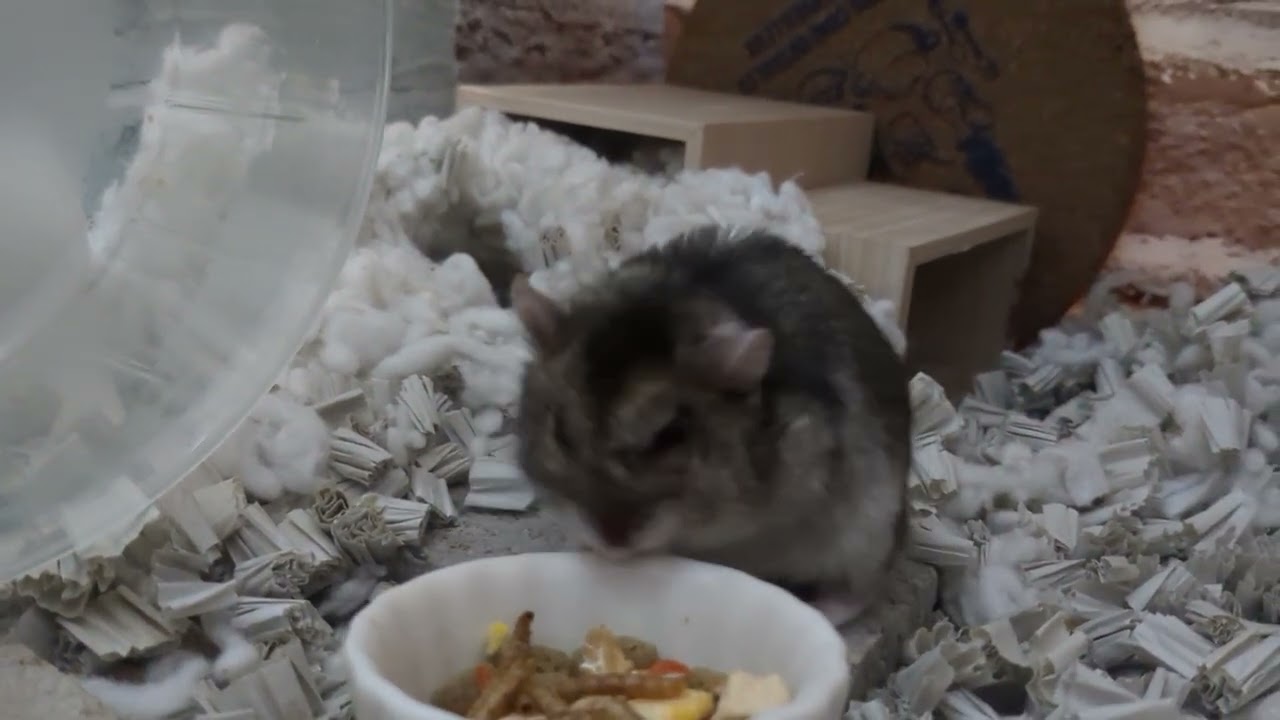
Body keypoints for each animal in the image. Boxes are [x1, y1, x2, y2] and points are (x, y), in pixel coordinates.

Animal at [511, 225, 912, 623]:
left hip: (870, 532)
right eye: (561, 432)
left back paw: (823, 609)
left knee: (862, 590)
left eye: (671, 435)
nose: (612, 545)